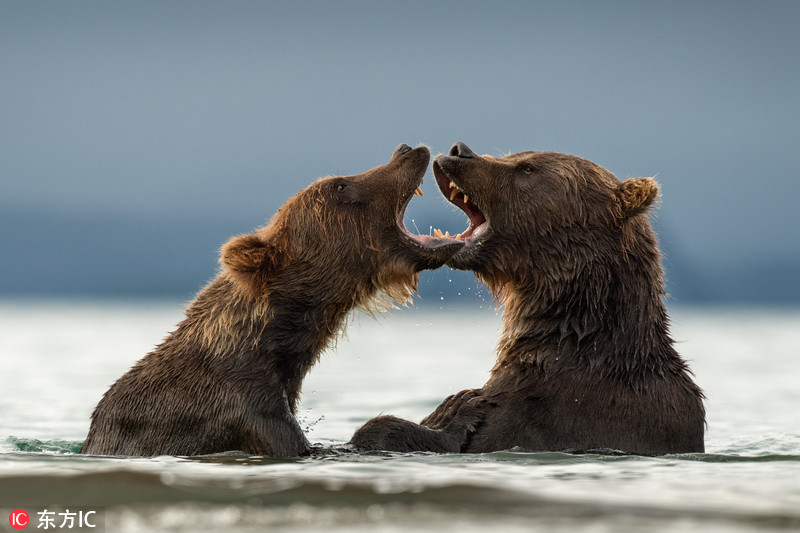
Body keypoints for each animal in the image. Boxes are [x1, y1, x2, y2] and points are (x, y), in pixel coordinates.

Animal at [80, 143, 476, 456]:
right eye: (340, 184)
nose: (408, 149)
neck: (269, 344)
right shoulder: (241, 410)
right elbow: (324, 445)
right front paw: (455, 413)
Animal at [350, 142, 708, 458]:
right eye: (515, 155)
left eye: (527, 168)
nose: (459, 151)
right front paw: (450, 405)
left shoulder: (545, 406)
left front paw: (453, 409)